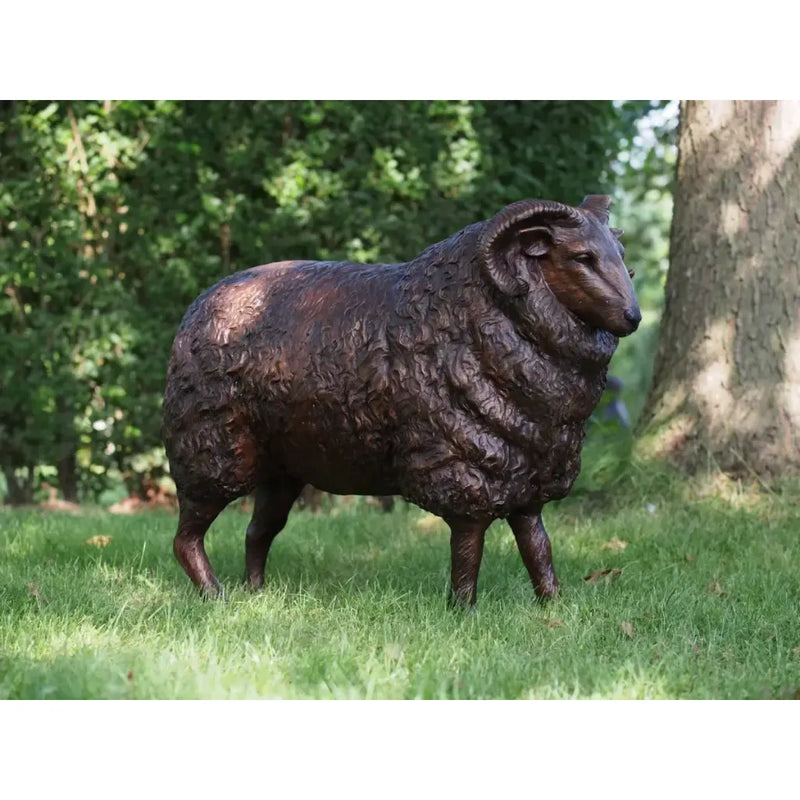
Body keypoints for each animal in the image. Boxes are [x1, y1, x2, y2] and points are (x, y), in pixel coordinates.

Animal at [161, 195, 640, 604]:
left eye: (622, 257)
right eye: (582, 257)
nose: (633, 317)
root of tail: (198, 307)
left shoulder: (526, 472)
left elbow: (537, 545)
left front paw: (554, 605)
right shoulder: (463, 470)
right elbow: (469, 549)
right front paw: (464, 611)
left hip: (281, 470)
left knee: (257, 531)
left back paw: (255, 594)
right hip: (210, 453)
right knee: (185, 539)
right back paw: (216, 596)